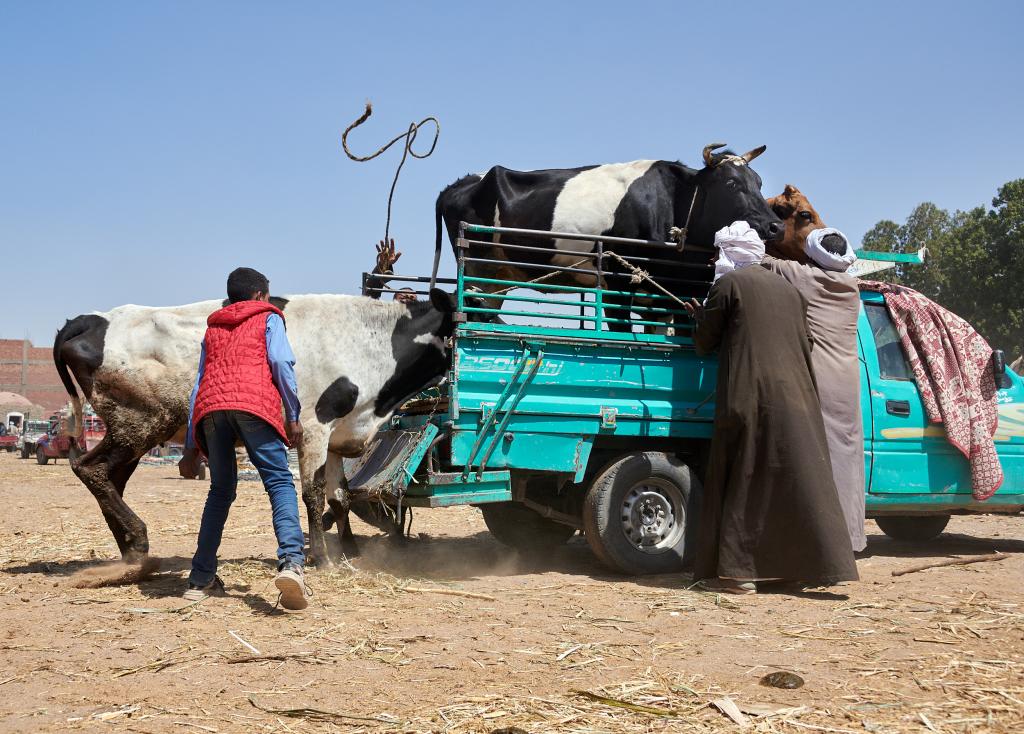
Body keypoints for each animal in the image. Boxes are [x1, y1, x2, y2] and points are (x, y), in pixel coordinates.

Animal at [54, 288, 454, 565]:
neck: (370, 341)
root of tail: (92, 319)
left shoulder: (339, 435)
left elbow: (340, 496)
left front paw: (351, 551)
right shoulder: (313, 427)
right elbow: (312, 493)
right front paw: (323, 558)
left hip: (131, 430)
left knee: (111, 480)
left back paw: (130, 552)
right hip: (142, 422)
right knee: (90, 469)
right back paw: (137, 538)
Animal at [434, 141, 782, 325]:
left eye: (759, 182)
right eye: (732, 183)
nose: (775, 225)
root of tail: (455, 184)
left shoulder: (674, 290)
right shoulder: (617, 276)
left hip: (497, 273)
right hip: (478, 265)